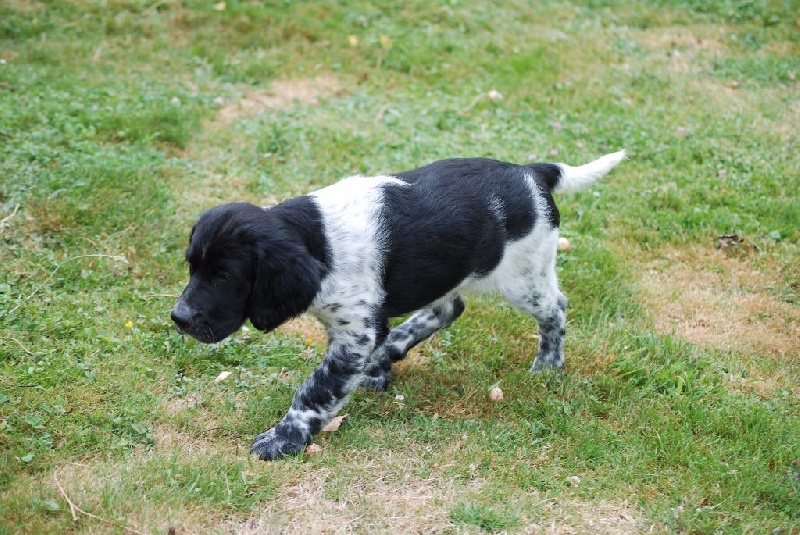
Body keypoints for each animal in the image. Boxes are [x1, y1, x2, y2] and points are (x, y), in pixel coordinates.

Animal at [171, 150, 625, 460]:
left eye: (225, 277)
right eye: (192, 266)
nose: (179, 318)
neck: (318, 240)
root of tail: (533, 172)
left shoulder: (355, 332)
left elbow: (316, 390)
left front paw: (284, 438)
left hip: (523, 278)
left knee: (555, 309)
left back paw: (548, 364)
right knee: (447, 309)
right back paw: (384, 359)